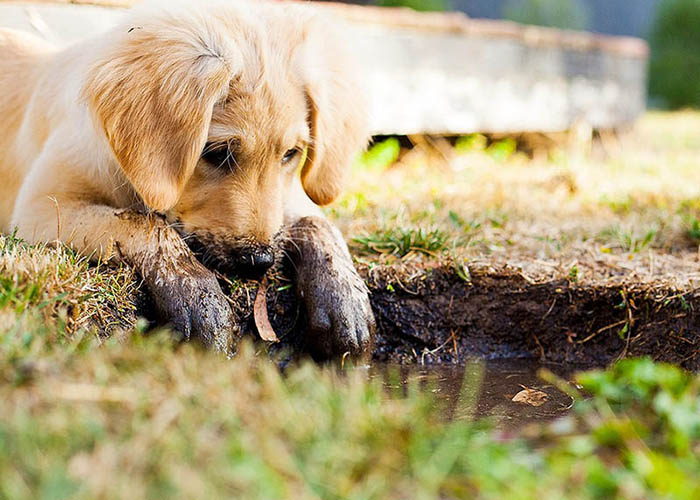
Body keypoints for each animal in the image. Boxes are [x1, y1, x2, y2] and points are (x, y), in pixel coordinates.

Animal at [0, 0, 378, 360]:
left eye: (290, 154)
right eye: (217, 153)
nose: (259, 263)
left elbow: (317, 222)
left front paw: (344, 299)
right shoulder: (40, 208)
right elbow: (143, 223)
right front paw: (197, 295)